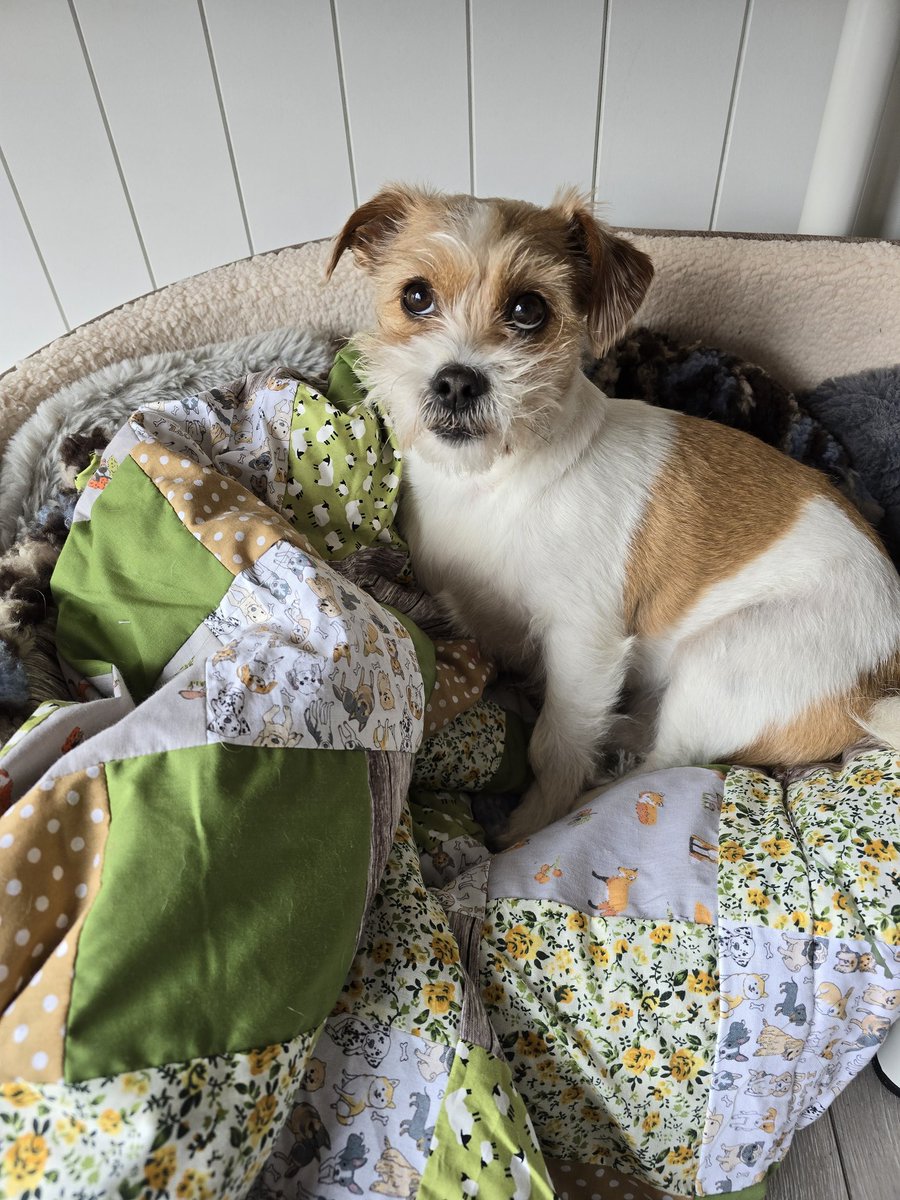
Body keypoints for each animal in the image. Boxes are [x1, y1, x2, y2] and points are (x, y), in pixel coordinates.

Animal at [328, 187, 900, 844]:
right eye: (415, 296)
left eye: (528, 309)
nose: (455, 382)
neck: (492, 483)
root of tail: (884, 677)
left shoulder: (583, 645)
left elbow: (556, 745)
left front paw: (530, 825)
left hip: (728, 661)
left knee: (665, 763)